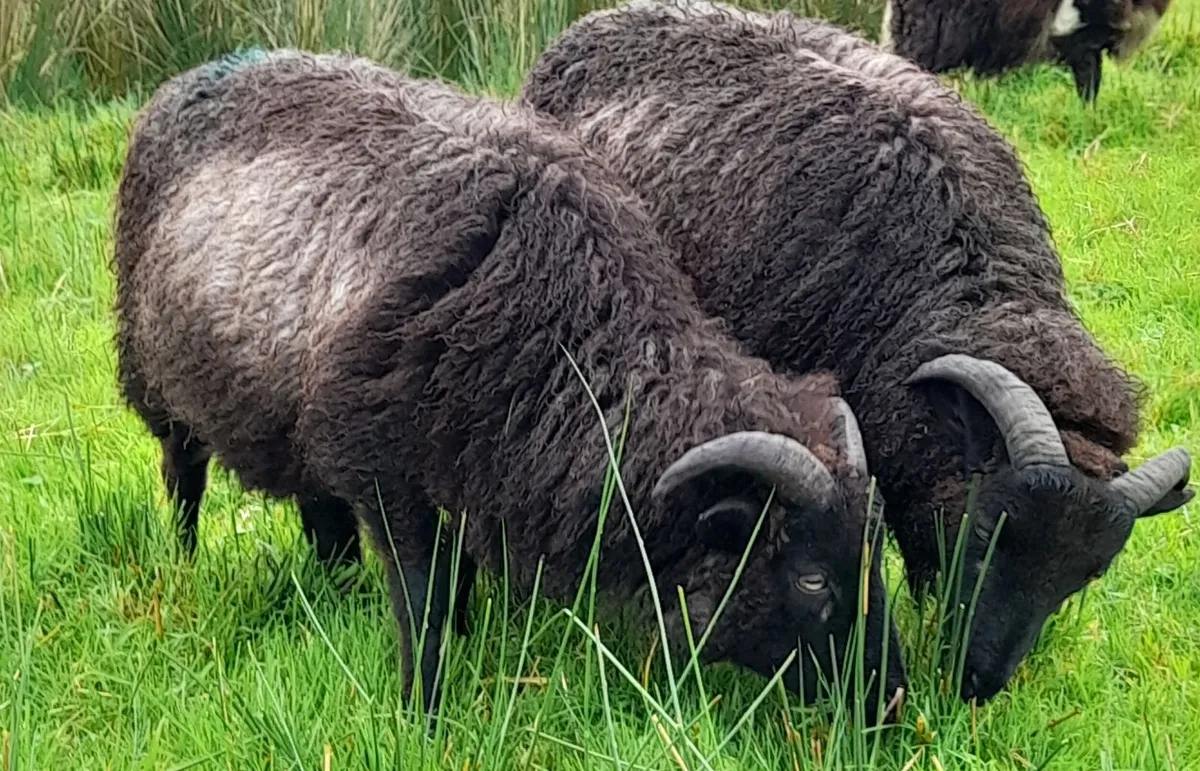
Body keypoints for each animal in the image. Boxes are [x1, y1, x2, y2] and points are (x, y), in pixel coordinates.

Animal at [112, 48, 909, 719]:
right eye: (812, 578)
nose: (894, 702)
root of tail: (192, 76)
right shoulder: (387, 471)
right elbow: (424, 599)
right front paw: (423, 711)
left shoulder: (466, 466)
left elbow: (456, 582)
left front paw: (468, 647)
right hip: (151, 371)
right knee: (183, 475)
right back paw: (183, 563)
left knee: (318, 513)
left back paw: (334, 592)